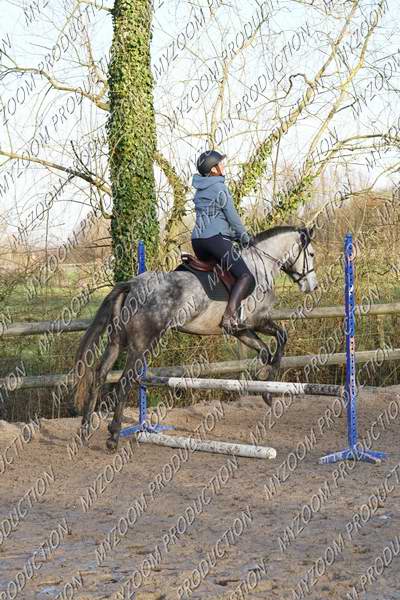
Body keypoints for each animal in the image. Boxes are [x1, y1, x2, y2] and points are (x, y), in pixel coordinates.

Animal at [73, 225, 318, 451]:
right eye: (312, 254)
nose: (312, 286)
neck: (261, 265)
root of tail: (132, 285)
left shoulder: (239, 329)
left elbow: (265, 351)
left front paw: (263, 382)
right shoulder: (256, 320)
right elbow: (282, 337)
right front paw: (268, 391)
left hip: (116, 342)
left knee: (99, 375)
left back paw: (85, 431)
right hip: (141, 345)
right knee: (124, 381)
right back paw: (113, 436)